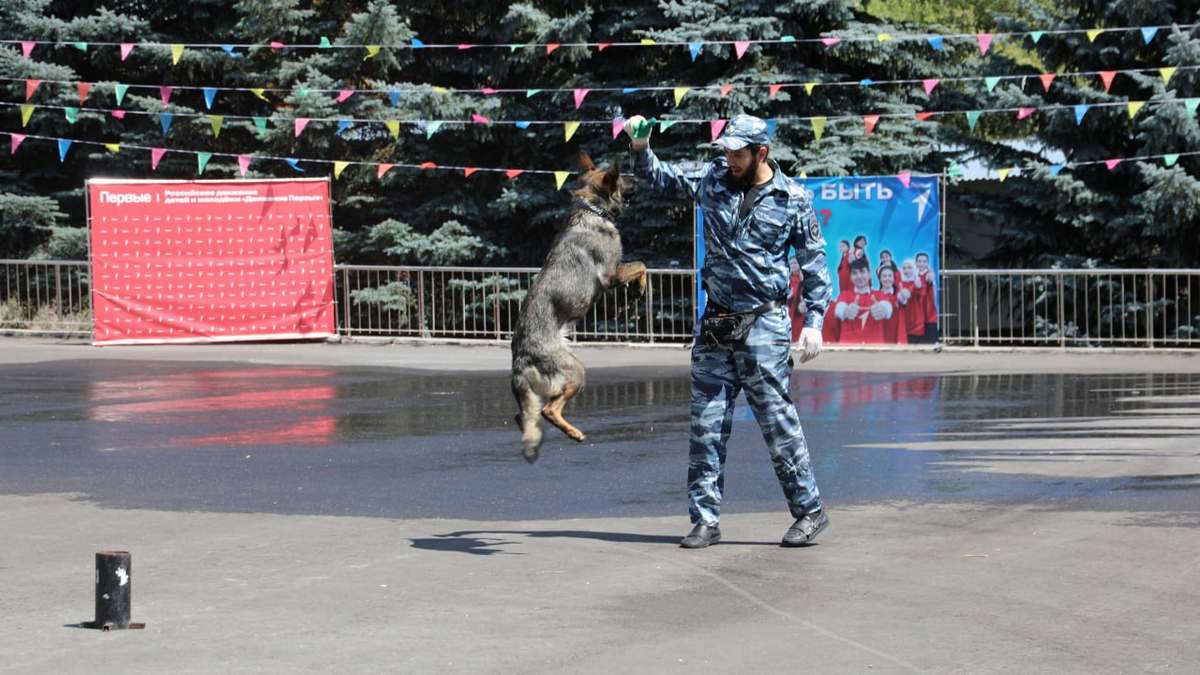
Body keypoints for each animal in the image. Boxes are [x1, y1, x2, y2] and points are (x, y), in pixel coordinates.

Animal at [513, 150, 648, 458]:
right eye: (623, 177)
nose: (641, 177)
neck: (592, 209)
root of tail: (520, 357)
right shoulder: (611, 275)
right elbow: (641, 265)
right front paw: (640, 289)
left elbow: (640, 266)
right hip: (575, 372)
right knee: (549, 410)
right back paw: (574, 433)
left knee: (524, 415)